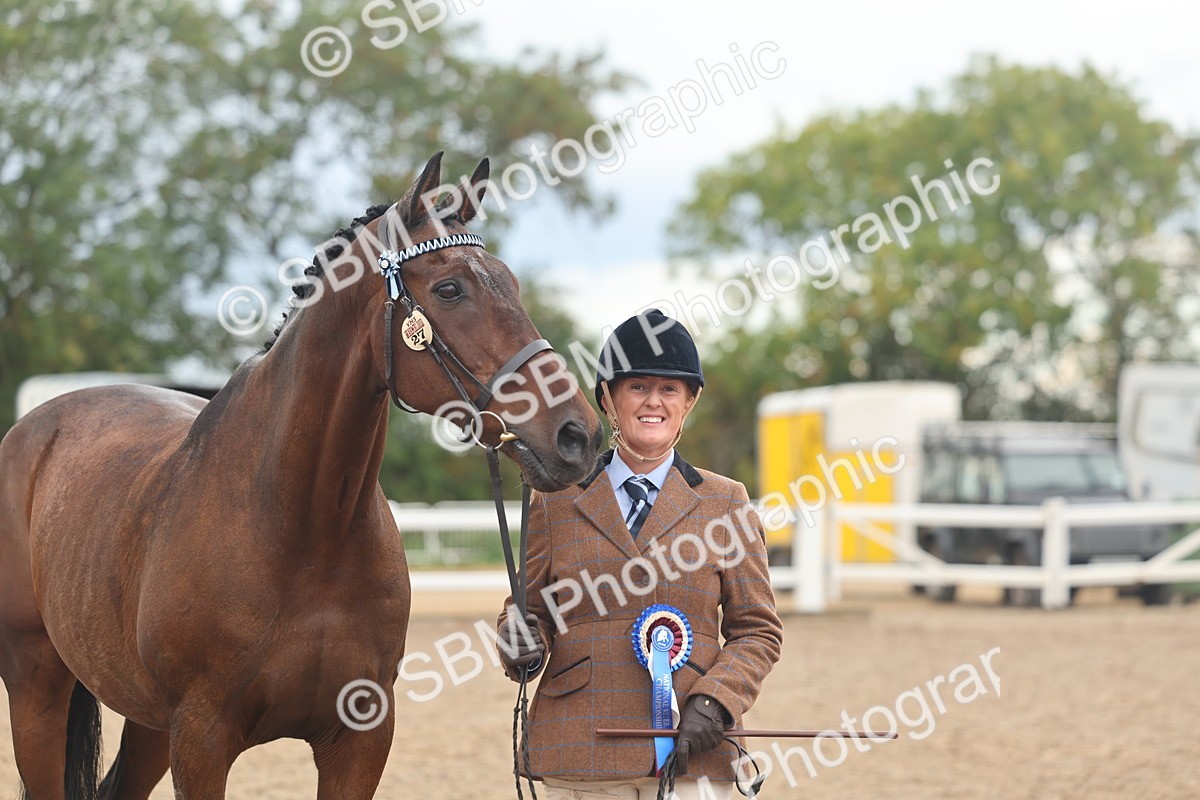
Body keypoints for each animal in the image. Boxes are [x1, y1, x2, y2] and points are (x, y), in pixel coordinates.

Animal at [0, 151, 602, 799]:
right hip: (38, 688)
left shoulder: (360, 738)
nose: (578, 435)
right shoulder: (201, 741)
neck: (303, 529)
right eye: (449, 289)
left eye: (511, 283)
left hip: (148, 723)